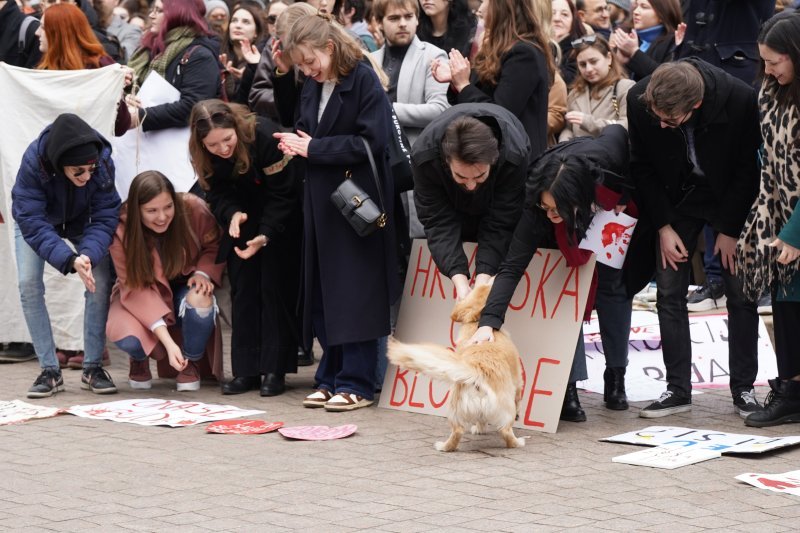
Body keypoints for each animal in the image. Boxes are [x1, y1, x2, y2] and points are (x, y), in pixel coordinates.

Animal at [388, 284, 524, 450]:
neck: (475, 322)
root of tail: (476, 373)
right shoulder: (518, 381)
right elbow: (519, 398)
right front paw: (518, 413)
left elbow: (481, 420)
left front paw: (479, 429)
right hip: (505, 409)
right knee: (506, 432)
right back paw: (518, 442)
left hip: (455, 411)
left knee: (457, 432)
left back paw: (443, 446)